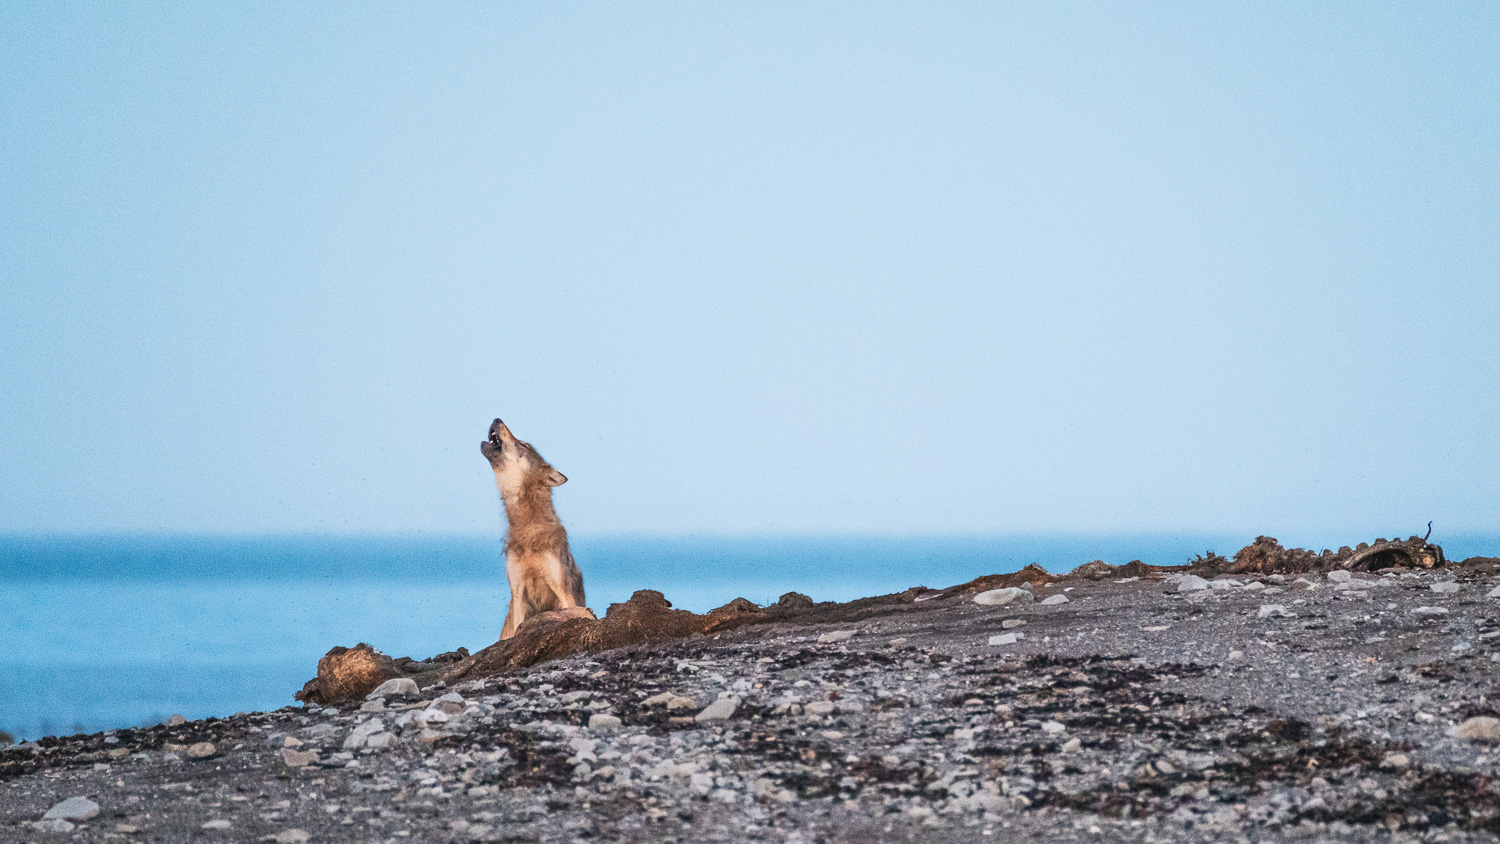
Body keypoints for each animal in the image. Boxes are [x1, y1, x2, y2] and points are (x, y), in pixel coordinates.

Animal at [486, 419, 591, 638]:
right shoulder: (517, 593)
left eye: (524, 445)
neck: (529, 529)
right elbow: (517, 625)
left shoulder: (562, 590)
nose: (497, 420)